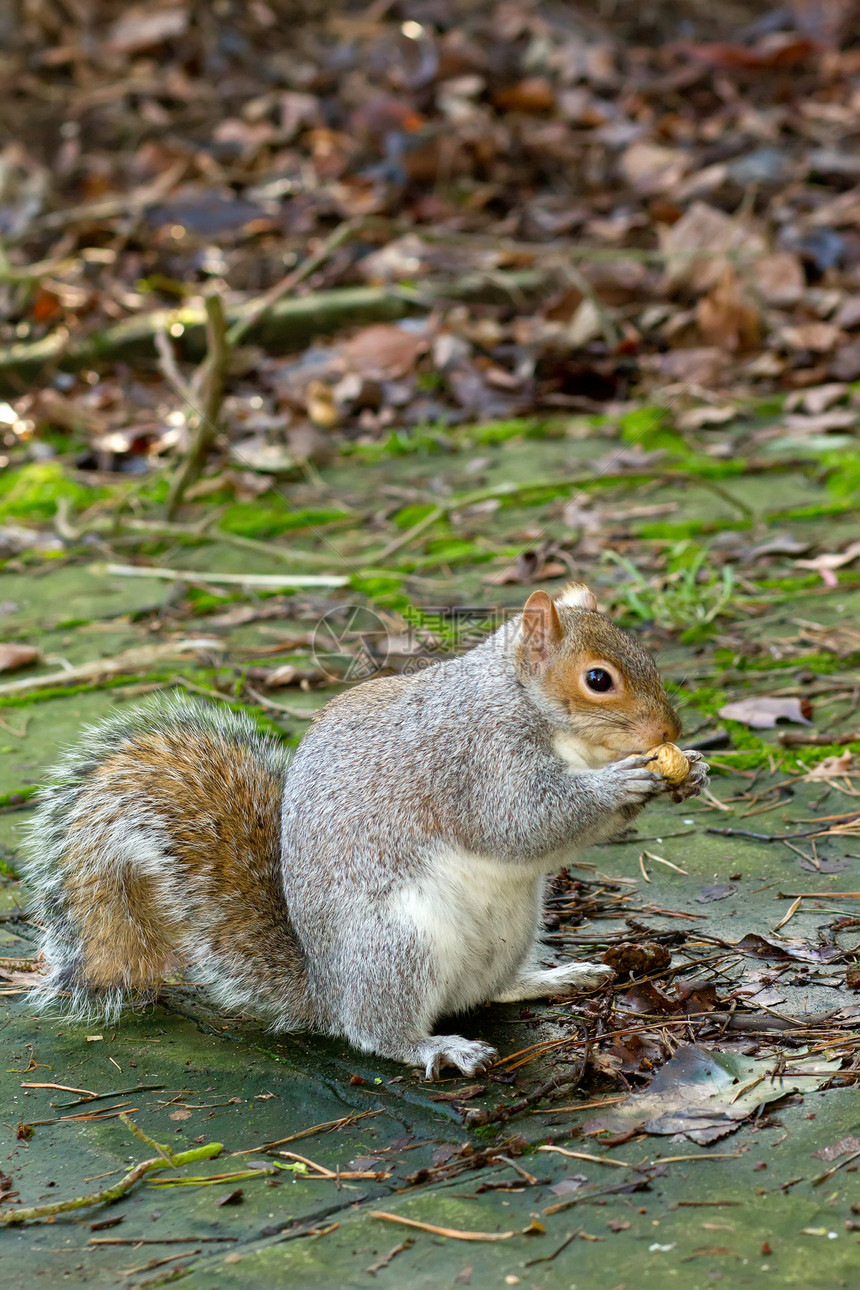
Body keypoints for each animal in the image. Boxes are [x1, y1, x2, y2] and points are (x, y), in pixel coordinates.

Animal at [21, 585, 706, 1078]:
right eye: (599, 679)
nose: (669, 731)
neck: (521, 701)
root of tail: (327, 990)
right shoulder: (475, 759)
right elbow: (520, 823)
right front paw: (622, 784)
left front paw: (691, 770)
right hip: (398, 944)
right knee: (377, 1033)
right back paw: (436, 1048)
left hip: (514, 927)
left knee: (487, 993)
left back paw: (549, 978)